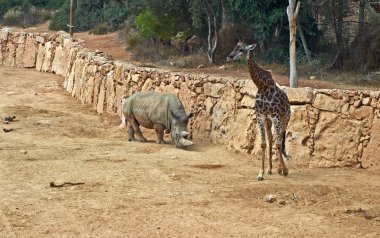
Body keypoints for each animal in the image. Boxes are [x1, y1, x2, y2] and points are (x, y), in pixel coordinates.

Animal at [227, 38, 292, 180]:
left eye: (242, 49)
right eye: (234, 47)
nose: (229, 57)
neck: (262, 87)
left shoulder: (276, 116)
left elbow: (278, 143)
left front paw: (284, 170)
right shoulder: (260, 116)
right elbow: (263, 144)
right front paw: (261, 173)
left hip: (285, 118)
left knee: (279, 140)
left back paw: (281, 169)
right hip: (269, 121)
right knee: (271, 138)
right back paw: (270, 169)